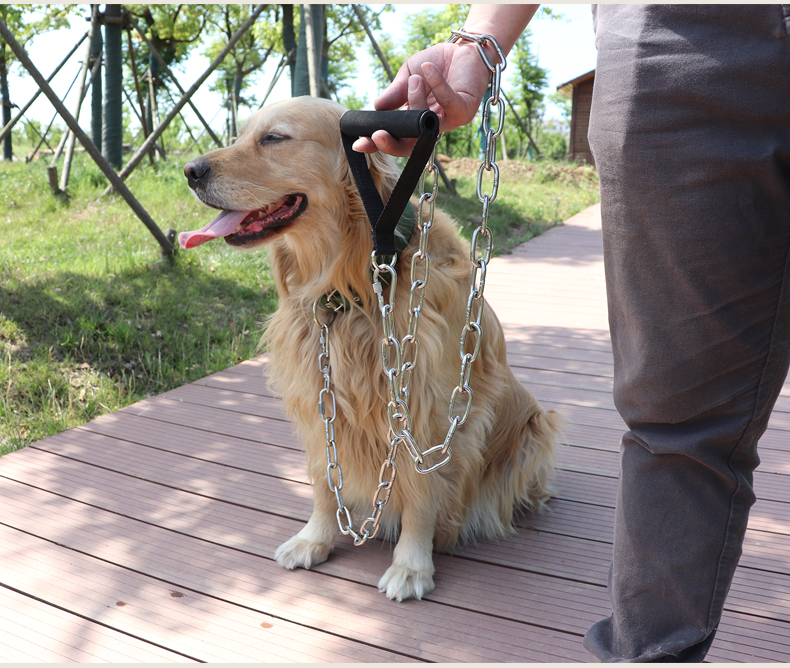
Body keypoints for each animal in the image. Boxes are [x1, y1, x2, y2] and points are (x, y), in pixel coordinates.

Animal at [179, 96, 564, 604]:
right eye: (240, 135)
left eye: (275, 138)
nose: (190, 171)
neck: (351, 282)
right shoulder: (318, 401)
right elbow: (326, 481)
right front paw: (315, 538)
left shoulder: (424, 411)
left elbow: (421, 493)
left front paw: (411, 565)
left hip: (536, 428)